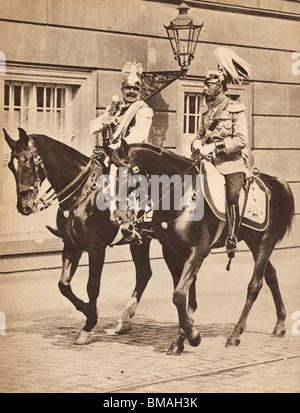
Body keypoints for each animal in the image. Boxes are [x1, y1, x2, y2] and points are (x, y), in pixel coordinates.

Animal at [3, 129, 156, 344]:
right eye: (11, 165)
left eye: (26, 163)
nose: (23, 206)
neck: (84, 193)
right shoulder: (71, 245)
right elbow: (63, 285)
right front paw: (88, 311)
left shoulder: (96, 248)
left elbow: (92, 286)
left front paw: (89, 324)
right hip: (140, 241)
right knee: (144, 273)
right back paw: (124, 321)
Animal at [109, 139, 294, 354]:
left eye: (126, 174)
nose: (117, 217)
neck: (182, 195)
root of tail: (279, 182)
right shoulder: (171, 252)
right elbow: (182, 296)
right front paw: (180, 339)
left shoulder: (198, 251)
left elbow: (180, 295)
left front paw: (193, 336)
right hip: (254, 242)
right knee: (271, 275)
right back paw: (279, 324)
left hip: (265, 241)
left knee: (255, 285)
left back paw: (235, 335)